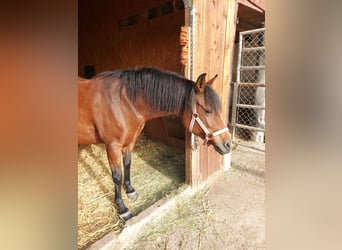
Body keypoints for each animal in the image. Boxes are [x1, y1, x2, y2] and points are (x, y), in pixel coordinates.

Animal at [79, 67, 231, 221]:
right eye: (208, 111)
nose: (228, 144)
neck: (123, 103)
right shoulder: (112, 146)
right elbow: (117, 176)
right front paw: (122, 209)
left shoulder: (130, 141)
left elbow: (127, 164)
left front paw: (130, 190)